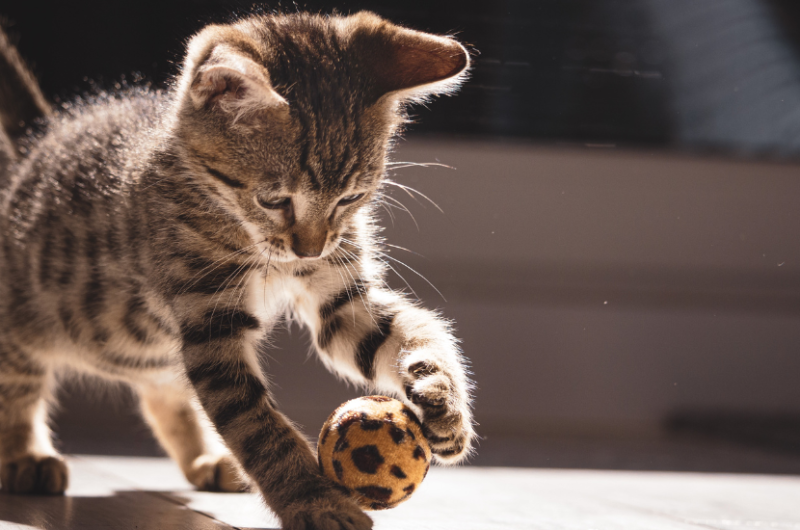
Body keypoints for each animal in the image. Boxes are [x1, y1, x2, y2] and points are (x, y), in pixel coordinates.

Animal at [0, 9, 472, 528]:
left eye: (350, 198)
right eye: (275, 201)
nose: (309, 251)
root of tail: (41, 145)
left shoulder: (341, 299)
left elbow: (408, 331)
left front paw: (443, 399)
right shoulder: (210, 323)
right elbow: (255, 424)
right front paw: (315, 500)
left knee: (163, 391)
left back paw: (207, 459)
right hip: (24, 323)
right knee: (17, 384)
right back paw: (25, 456)